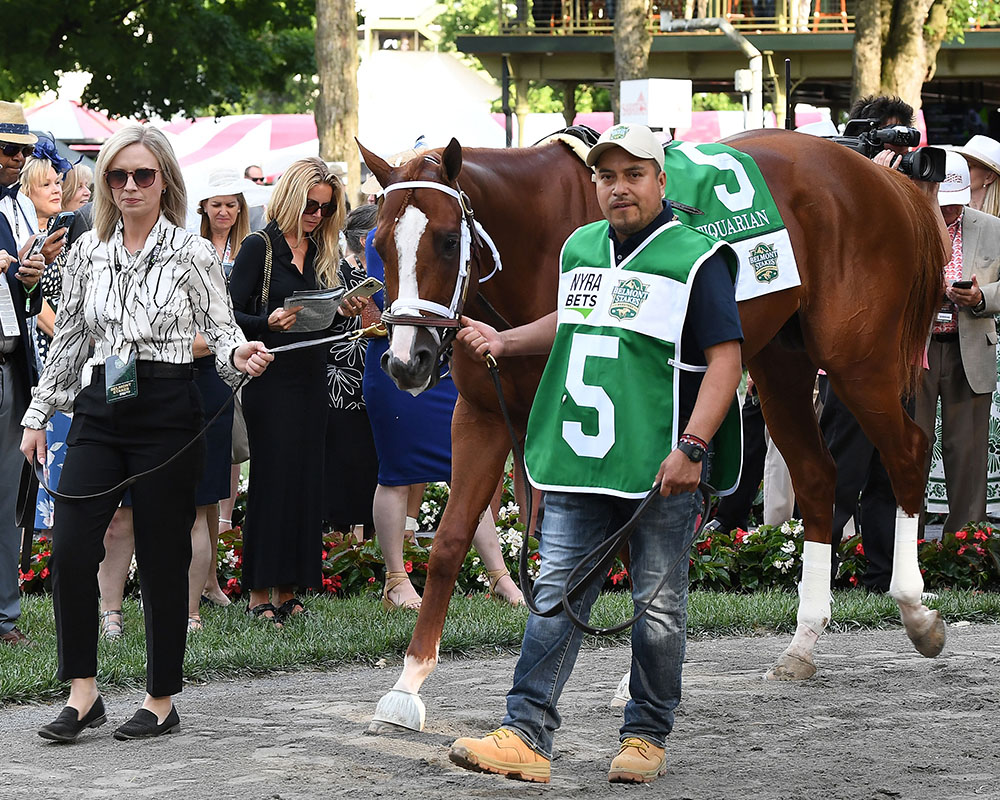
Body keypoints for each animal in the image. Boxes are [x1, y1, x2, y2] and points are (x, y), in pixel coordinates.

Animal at [358, 130, 944, 732]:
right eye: (379, 243)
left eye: (449, 240)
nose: (406, 360)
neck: (538, 239)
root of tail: (879, 176)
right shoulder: (483, 415)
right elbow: (451, 542)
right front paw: (408, 685)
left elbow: (619, 550)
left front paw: (633, 674)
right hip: (783, 364)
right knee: (817, 476)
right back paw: (802, 642)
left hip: (858, 363)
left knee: (908, 452)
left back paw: (916, 610)